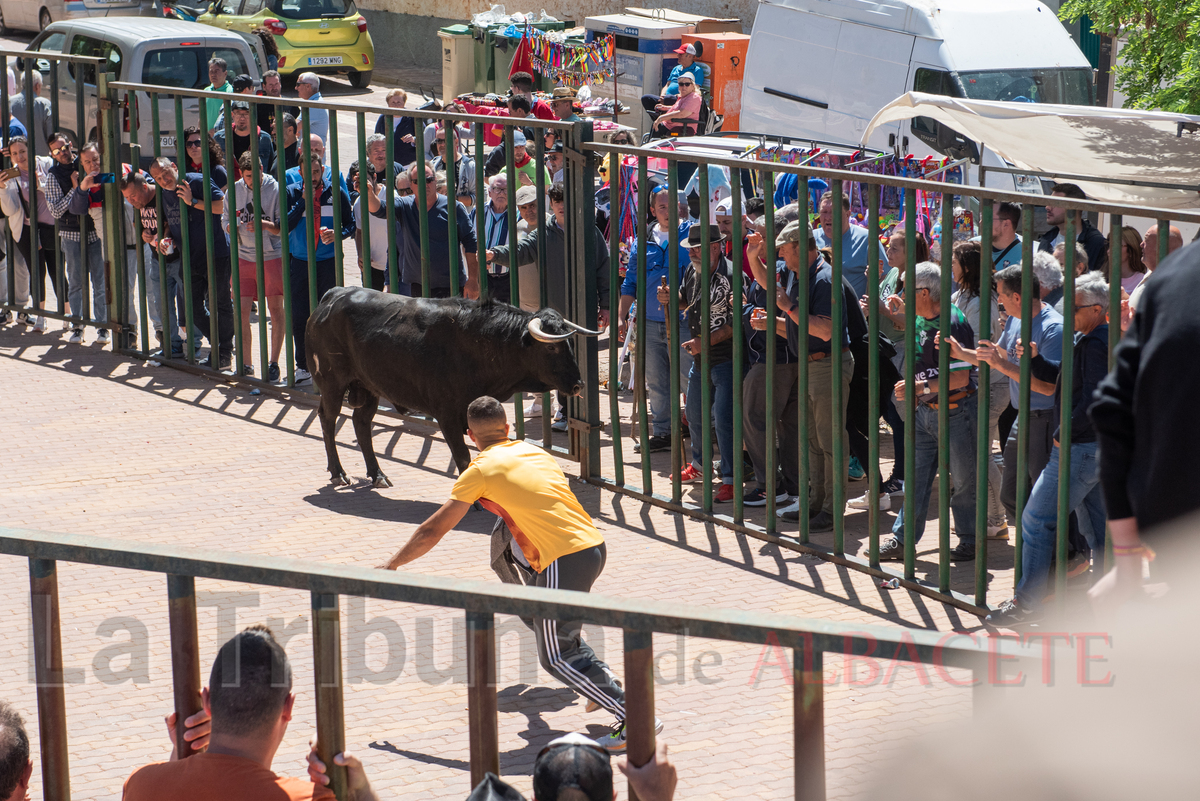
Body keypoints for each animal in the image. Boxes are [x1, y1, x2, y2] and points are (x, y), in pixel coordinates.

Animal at [300, 287, 600, 489]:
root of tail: (333, 295)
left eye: (569, 343)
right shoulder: (447, 415)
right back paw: (338, 472)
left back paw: (378, 475)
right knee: (327, 419)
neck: (481, 341)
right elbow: (463, 456)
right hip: (332, 384)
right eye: (551, 347)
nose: (578, 384)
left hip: (368, 388)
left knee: (361, 424)